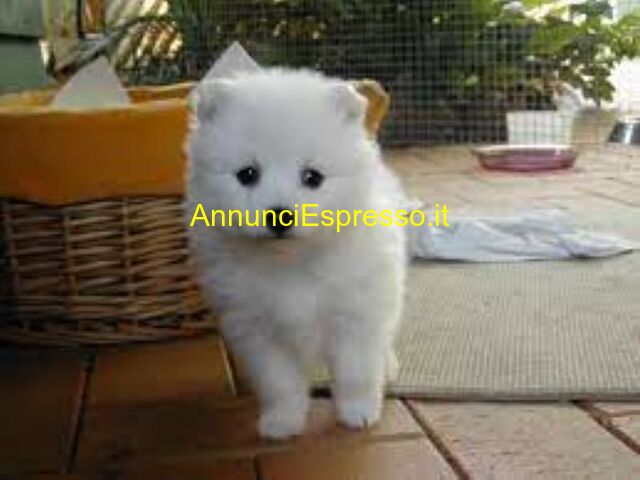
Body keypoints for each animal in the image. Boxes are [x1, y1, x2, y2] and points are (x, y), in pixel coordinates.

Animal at [186, 69, 407, 439]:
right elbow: (279, 382)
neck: (291, 262)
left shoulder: (354, 315)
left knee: (385, 336)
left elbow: (356, 371)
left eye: (312, 177)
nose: (280, 215)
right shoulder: (256, 329)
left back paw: (388, 367)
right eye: (248, 174)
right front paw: (283, 421)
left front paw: (359, 412)